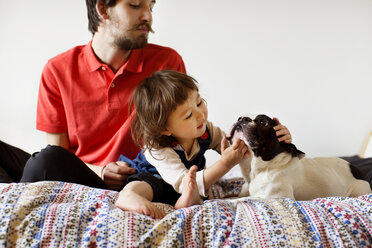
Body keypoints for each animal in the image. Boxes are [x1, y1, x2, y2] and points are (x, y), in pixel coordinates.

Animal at [228, 114, 370, 200]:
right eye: (241, 118)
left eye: (264, 122)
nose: (242, 118)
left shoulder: (278, 196)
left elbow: (245, 199)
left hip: (358, 190)